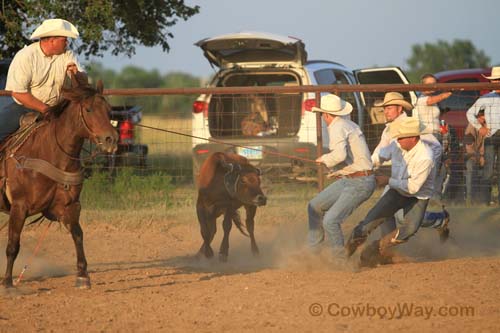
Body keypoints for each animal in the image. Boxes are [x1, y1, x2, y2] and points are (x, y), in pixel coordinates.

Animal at [0, 78, 118, 288]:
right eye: (88, 109)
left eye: (109, 109)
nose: (111, 139)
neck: (49, 153)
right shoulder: (19, 207)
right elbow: (13, 244)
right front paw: (7, 283)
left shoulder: (69, 205)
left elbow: (78, 234)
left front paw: (83, 275)